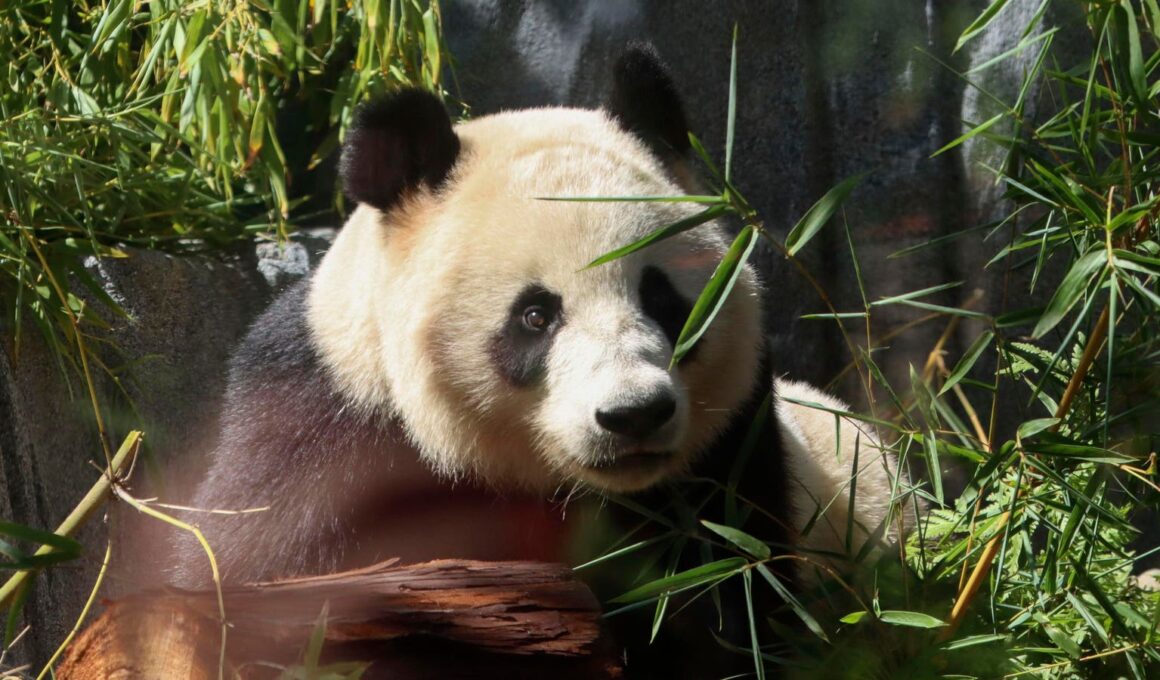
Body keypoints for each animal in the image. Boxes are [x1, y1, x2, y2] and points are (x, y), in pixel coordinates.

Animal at [171, 46, 900, 594]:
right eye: (535, 316)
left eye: (663, 299)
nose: (634, 415)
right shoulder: (325, 430)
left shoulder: (732, 446)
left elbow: (733, 589)